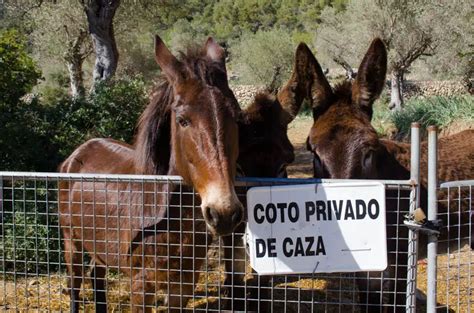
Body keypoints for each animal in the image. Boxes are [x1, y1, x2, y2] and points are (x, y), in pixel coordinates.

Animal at [58, 35, 244, 310]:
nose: (224, 213)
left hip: (99, 246)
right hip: (71, 241)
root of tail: (81, 149)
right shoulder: (140, 286)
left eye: (237, 118)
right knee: (75, 284)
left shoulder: (183, 286)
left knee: (96, 276)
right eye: (182, 120)